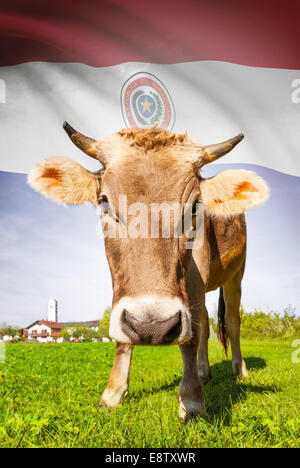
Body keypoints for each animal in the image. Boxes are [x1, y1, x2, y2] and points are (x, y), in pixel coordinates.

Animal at [28, 122, 270, 418]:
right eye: (104, 201)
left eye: (195, 207)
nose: (151, 327)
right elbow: (125, 334)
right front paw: (112, 393)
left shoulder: (196, 276)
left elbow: (190, 336)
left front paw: (192, 400)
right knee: (205, 323)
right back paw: (204, 372)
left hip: (236, 275)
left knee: (232, 322)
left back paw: (239, 370)